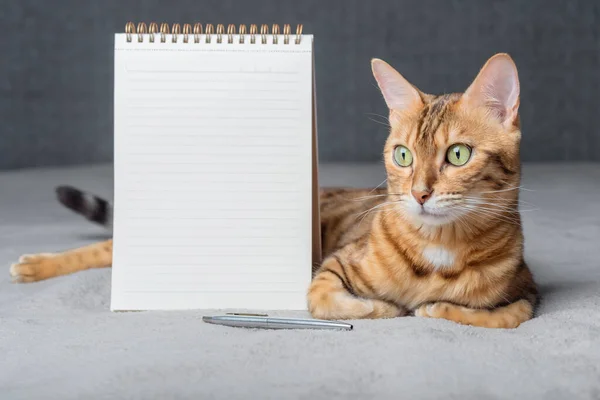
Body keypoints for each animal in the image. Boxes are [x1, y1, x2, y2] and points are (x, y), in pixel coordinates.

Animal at [8, 53, 536, 328]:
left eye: (458, 155)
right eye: (403, 156)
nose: (420, 194)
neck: (439, 250)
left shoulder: (527, 292)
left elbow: (499, 316)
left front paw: (435, 306)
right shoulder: (331, 267)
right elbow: (328, 300)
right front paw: (386, 307)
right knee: (108, 248)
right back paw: (35, 265)